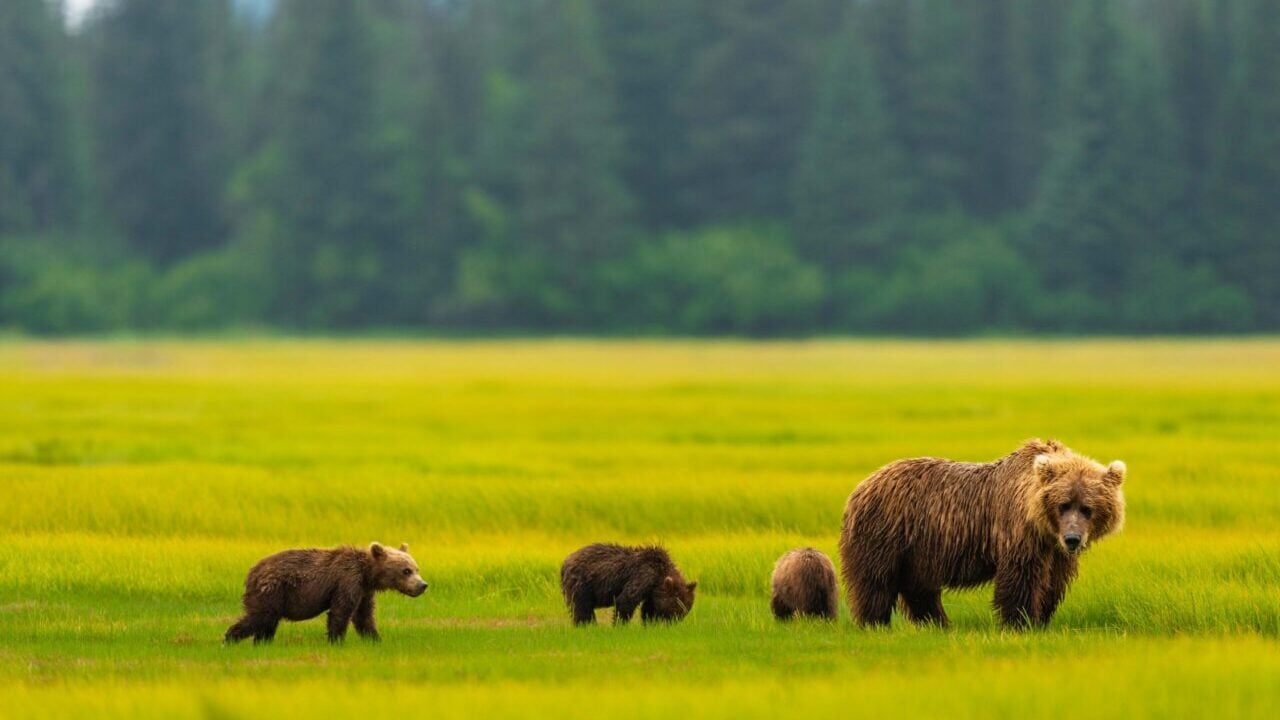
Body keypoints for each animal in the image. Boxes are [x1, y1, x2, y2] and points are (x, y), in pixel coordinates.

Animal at [224, 542, 427, 644]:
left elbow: (364, 616)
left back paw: (262, 642)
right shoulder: (347, 580)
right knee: (259, 617)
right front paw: (336, 641)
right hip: (272, 591)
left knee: (268, 622)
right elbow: (341, 612)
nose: (423, 585)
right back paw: (229, 639)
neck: (367, 574)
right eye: (406, 571)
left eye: (417, 568)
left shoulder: (364, 591)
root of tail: (251, 572)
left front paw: (375, 639)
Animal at [560, 543, 697, 625]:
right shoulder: (642, 576)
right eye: (674, 609)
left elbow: (648, 607)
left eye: (684, 610)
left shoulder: (651, 592)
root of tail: (565, 562)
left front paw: (650, 623)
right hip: (581, 583)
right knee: (581, 606)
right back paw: (587, 625)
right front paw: (619, 624)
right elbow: (626, 600)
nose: (672, 623)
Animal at [838, 439, 1125, 629]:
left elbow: (1053, 582)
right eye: (1063, 504)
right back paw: (875, 623)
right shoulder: (1017, 533)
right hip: (886, 532)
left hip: (919, 548)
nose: (1073, 539)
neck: (1042, 526)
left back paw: (938, 623)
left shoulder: (1055, 552)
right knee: (876, 580)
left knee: (919, 586)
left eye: (1088, 508)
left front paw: (1042, 618)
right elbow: (1021, 577)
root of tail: (862, 485)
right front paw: (1020, 622)